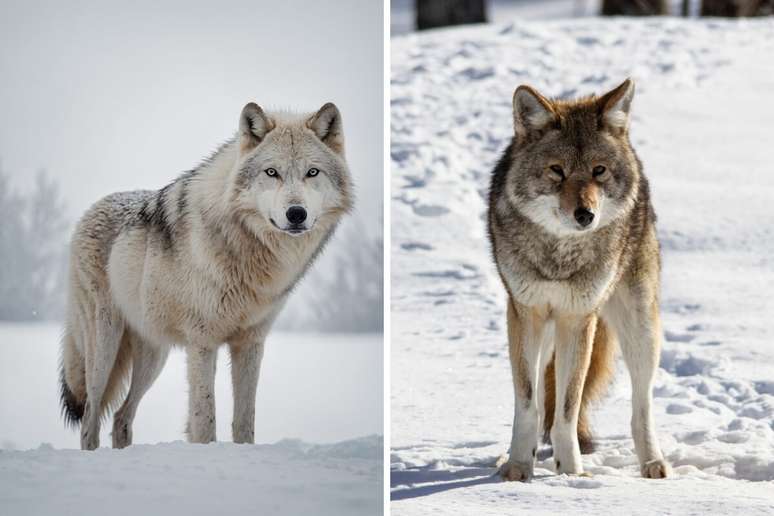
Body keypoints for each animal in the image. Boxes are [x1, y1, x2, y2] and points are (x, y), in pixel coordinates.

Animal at [60, 103, 354, 450]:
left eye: (312, 172)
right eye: (272, 172)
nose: (296, 214)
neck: (246, 249)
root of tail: (89, 211)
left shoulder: (250, 342)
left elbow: (245, 420)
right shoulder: (202, 342)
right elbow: (204, 419)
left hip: (153, 356)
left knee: (121, 416)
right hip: (103, 348)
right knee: (89, 418)